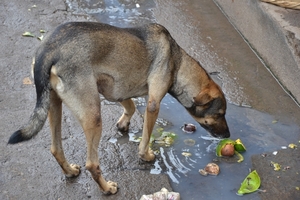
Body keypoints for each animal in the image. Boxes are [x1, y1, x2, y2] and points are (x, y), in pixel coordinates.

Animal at [8, 21, 230, 194]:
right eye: (220, 114)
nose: (228, 135)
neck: (178, 61)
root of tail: (48, 50)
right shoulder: (153, 104)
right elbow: (146, 136)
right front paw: (146, 155)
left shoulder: (114, 88)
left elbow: (130, 106)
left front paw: (123, 123)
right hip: (93, 116)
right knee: (92, 164)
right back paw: (107, 188)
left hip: (53, 104)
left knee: (56, 148)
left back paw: (70, 171)